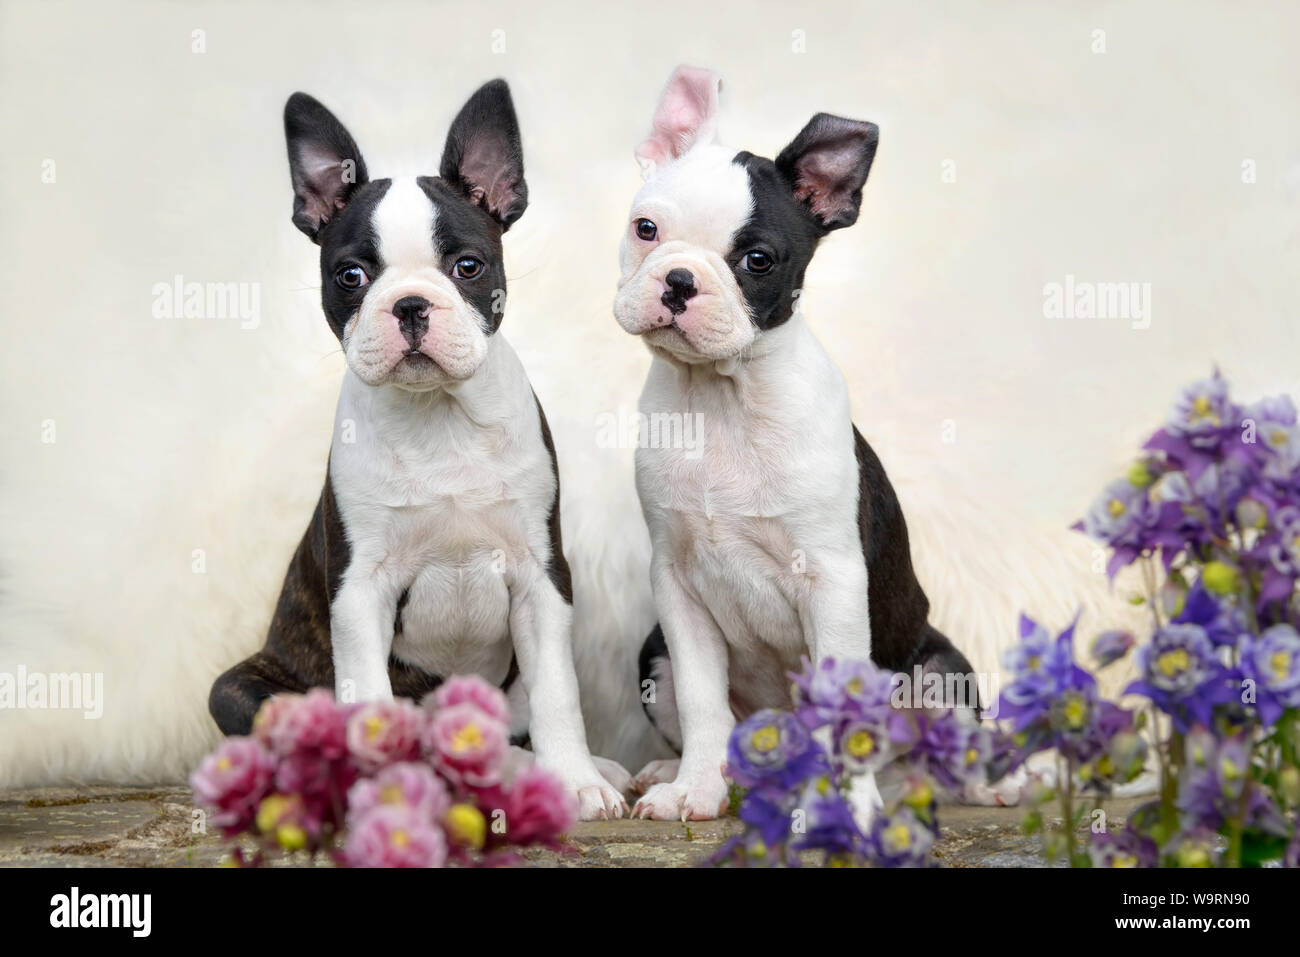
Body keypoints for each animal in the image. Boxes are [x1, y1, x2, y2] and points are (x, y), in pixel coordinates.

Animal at [209, 80, 629, 821]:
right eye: (350, 275)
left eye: (468, 266)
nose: (409, 304)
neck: (440, 417)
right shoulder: (360, 590)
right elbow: (370, 700)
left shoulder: (541, 578)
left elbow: (558, 694)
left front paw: (577, 782)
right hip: (238, 688)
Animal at [616, 67, 977, 821]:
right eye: (646, 229)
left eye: (757, 260)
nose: (679, 279)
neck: (723, 399)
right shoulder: (677, 588)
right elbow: (702, 699)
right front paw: (693, 788)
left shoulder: (834, 582)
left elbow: (845, 713)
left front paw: (849, 812)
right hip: (650, 652)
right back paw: (675, 770)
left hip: (941, 669)